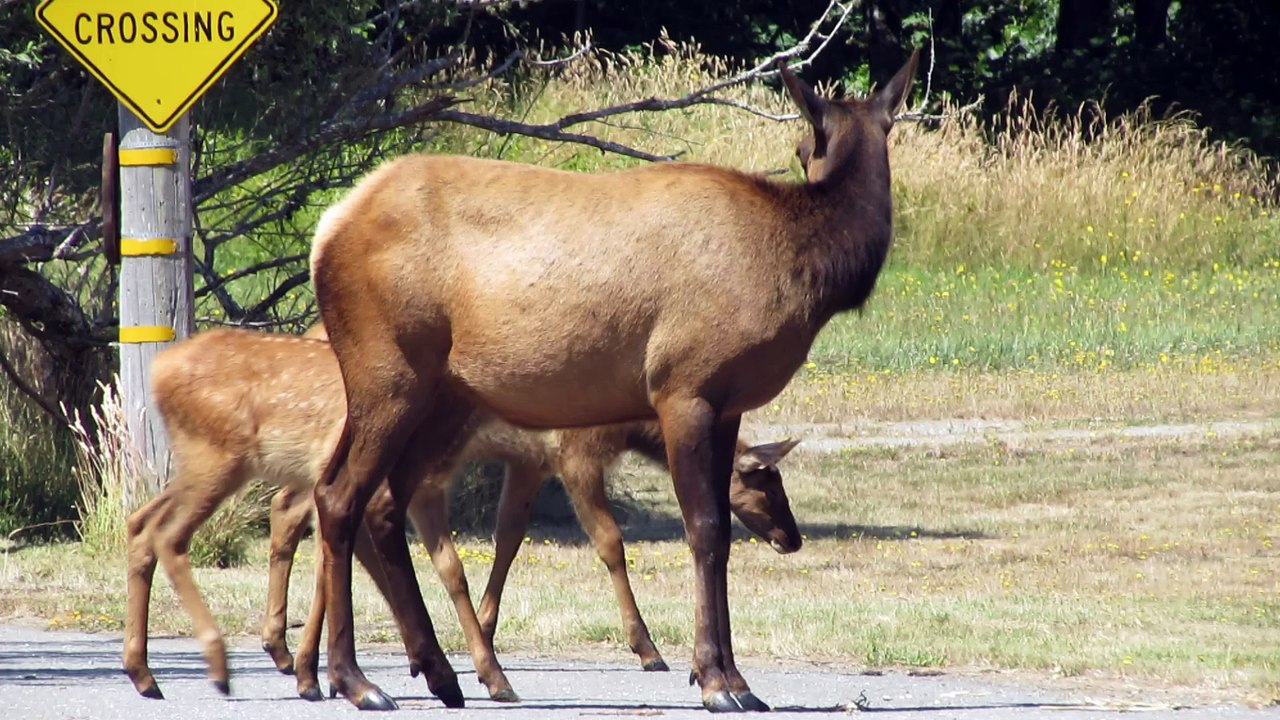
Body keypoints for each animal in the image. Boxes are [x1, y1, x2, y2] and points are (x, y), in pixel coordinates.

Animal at [121, 325, 803, 703]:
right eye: (765, 481)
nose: (792, 539)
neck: (633, 424)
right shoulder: (573, 454)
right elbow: (606, 542)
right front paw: (647, 648)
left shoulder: (526, 463)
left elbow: (506, 540)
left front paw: (477, 643)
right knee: (261, 521)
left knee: (199, 521)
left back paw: (261, 662)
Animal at [303, 50, 917, 713]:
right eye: (804, 146)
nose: (793, 539)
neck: (799, 267)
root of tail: (325, 231)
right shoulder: (684, 388)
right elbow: (703, 530)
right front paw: (712, 680)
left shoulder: (727, 404)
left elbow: (723, 533)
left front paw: (737, 680)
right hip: (389, 374)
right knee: (340, 496)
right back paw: (356, 680)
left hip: (439, 396)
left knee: (380, 501)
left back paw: (438, 674)